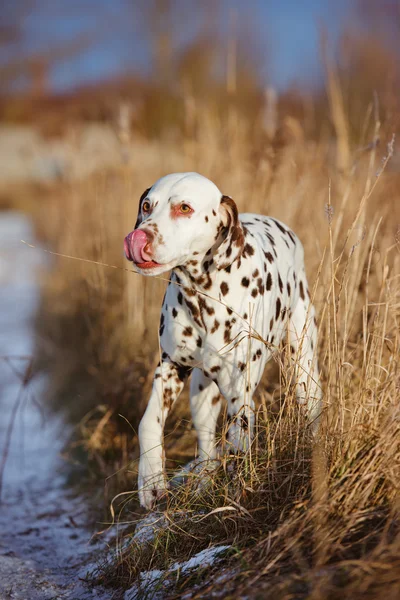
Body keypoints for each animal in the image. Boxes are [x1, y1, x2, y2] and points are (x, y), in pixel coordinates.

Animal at [123, 171, 324, 508]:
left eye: (184, 208)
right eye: (147, 205)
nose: (139, 237)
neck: (202, 294)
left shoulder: (239, 397)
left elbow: (237, 447)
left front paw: (236, 495)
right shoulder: (170, 369)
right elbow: (148, 422)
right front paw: (150, 479)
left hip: (303, 368)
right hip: (200, 393)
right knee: (206, 446)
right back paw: (204, 480)